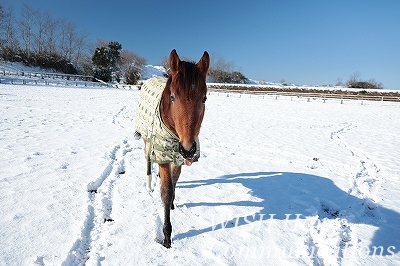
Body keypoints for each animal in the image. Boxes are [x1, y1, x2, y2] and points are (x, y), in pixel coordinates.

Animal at [134, 49, 209, 247]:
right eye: (173, 97)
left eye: (204, 98)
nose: (189, 149)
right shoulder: (163, 157)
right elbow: (166, 193)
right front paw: (167, 237)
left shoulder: (178, 158)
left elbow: (174, 183)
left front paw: (174, 203)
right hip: (147, 140)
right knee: (147, 160)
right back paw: (149, 184)